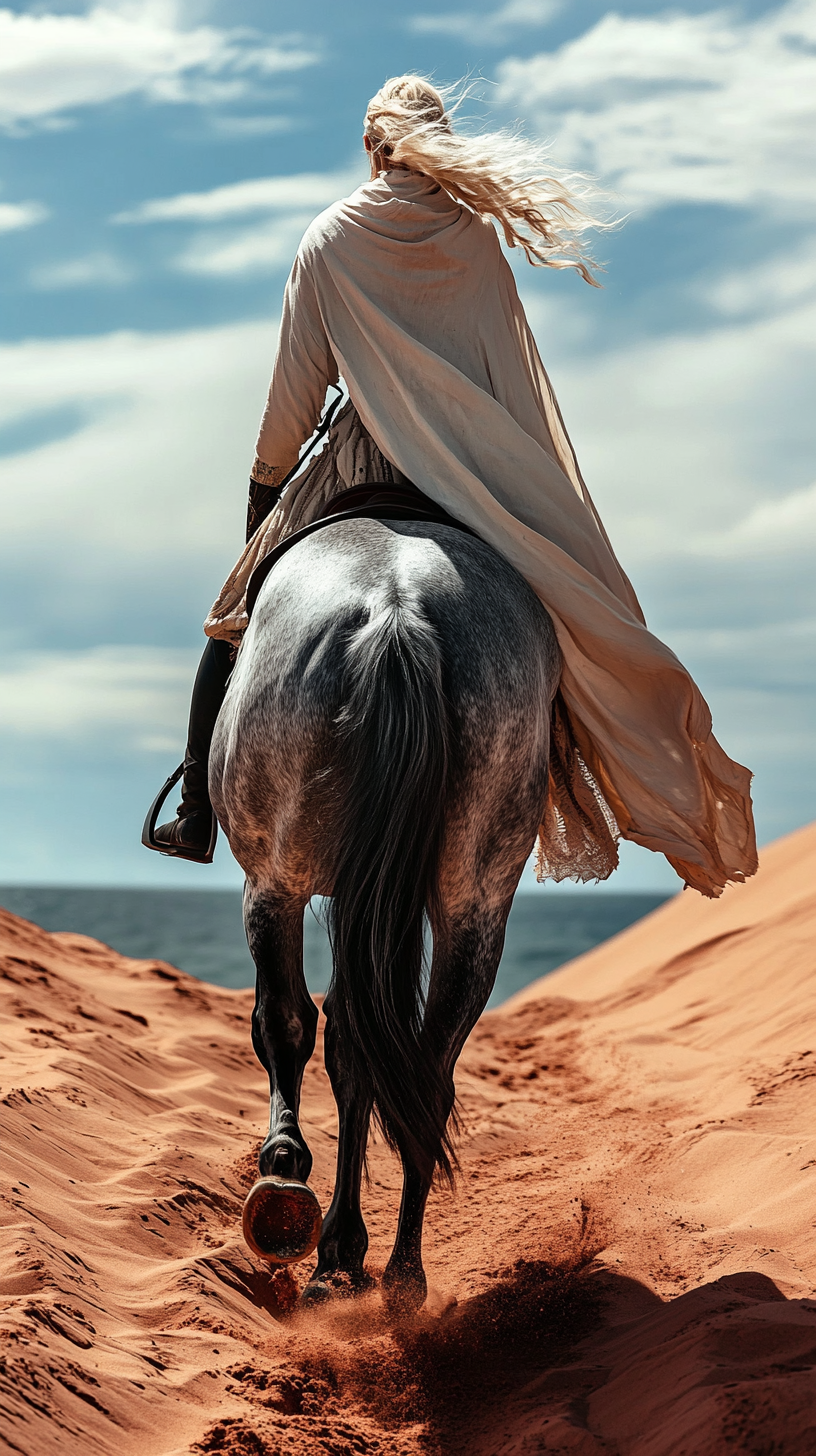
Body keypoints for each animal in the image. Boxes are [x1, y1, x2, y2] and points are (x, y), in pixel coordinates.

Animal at [208, 518, 559, 1316]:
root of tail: (397, 612)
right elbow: (357, 1042)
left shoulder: (284, 880)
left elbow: (299, 1027)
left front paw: (296, 1183)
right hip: (475, 895)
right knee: (425, 1067)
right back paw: (399, 1274)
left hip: (274, 872)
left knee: (293, 1020)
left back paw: (302, 1209)